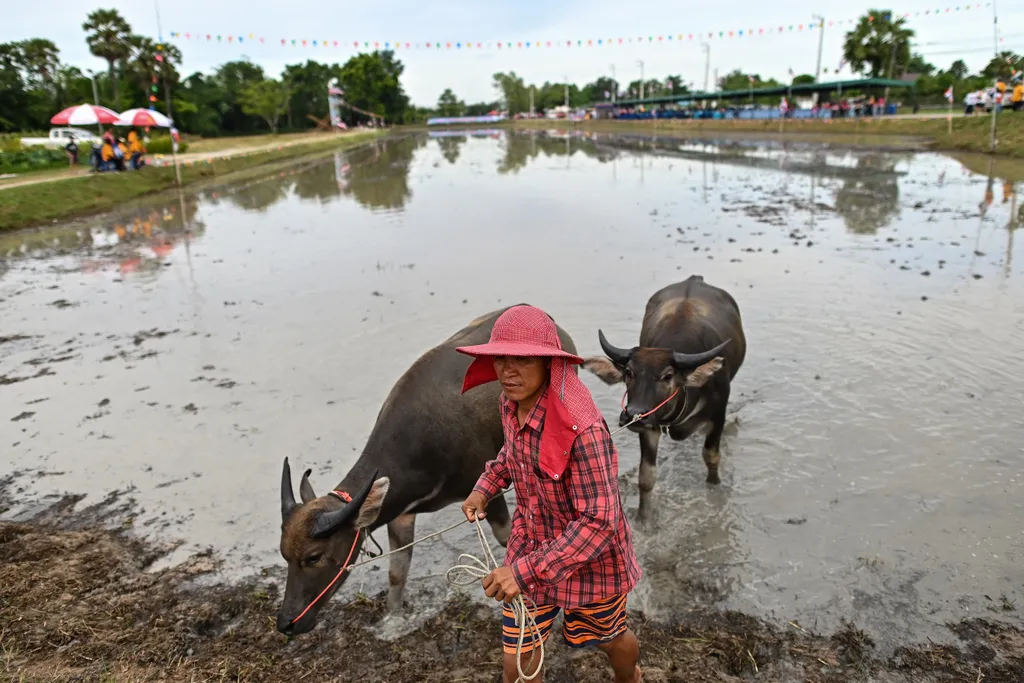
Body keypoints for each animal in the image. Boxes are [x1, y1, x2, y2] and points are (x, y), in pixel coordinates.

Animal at [274, 305, 577, 634]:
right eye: (284, 554)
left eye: (313, 556)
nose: (286, 623)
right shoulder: (401, 513)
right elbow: (397, 571)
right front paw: (392, 619)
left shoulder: (488, 493)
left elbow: (504, 538)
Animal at [585, 274, 745, 509]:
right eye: (629, 373)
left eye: (668, 376)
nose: (633, 414)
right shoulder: (650, 427)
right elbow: (646, 477)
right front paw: (644, 516)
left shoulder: (719, 415)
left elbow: (711, 456)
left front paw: (715, 486)